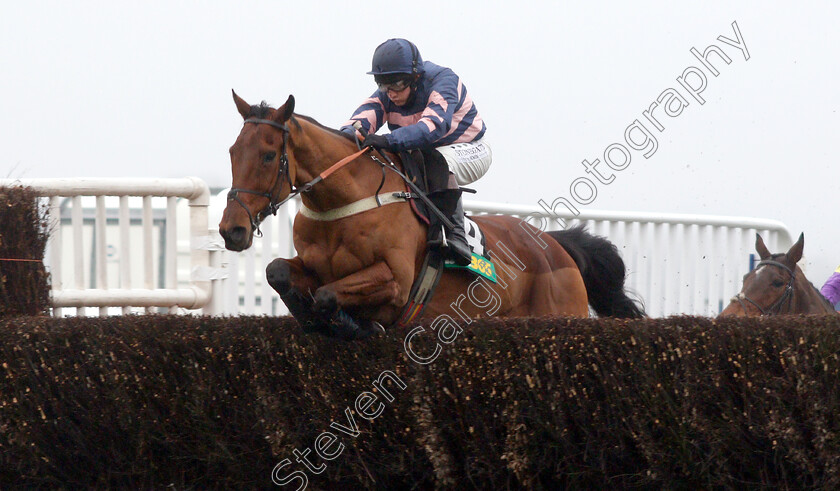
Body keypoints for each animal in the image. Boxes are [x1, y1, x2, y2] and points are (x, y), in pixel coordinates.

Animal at [218, 91, 644, 338]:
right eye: (233, 152)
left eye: (268, 155)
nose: (231, 230)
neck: (345, 204)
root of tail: (556, 247)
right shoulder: (312, 265)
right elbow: (278, 271)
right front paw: (309, 317)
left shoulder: (395, 282)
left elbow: (329, 295)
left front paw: (349, 323)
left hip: (561, 314)